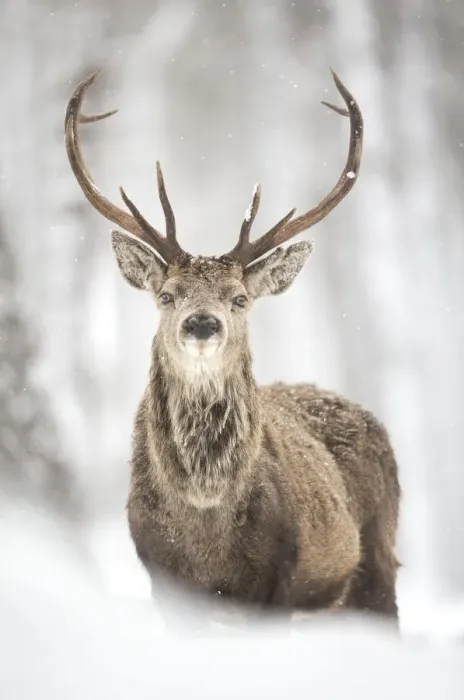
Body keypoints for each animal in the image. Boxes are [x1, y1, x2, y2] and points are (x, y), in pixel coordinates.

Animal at [64, 69, 400, 625]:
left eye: (240, 298)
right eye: (166, 295)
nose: (202, 324)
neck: (205, 528)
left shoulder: (277, 578)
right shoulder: (161, 579)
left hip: (379, 554)